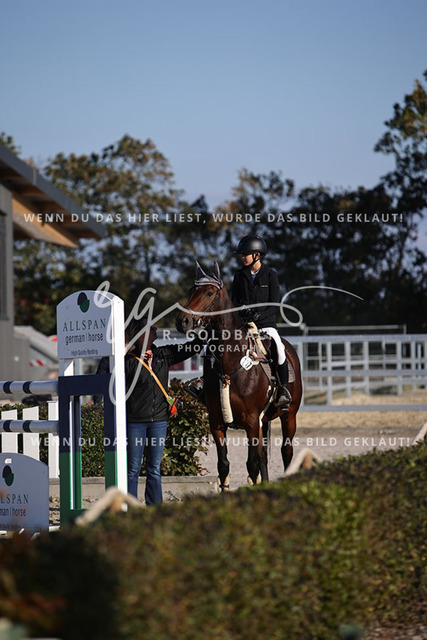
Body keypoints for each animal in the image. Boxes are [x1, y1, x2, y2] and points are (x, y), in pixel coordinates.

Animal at [176, 261, 302, 490]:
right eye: (191, 291)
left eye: (209, 293)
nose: (182, 321)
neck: (231, 366)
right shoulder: (217, 422)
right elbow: (224, 465)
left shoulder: (251, 421)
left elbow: (252, 465)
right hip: (263, 422)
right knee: (264, 456)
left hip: (289, 415)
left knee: (286, 452)